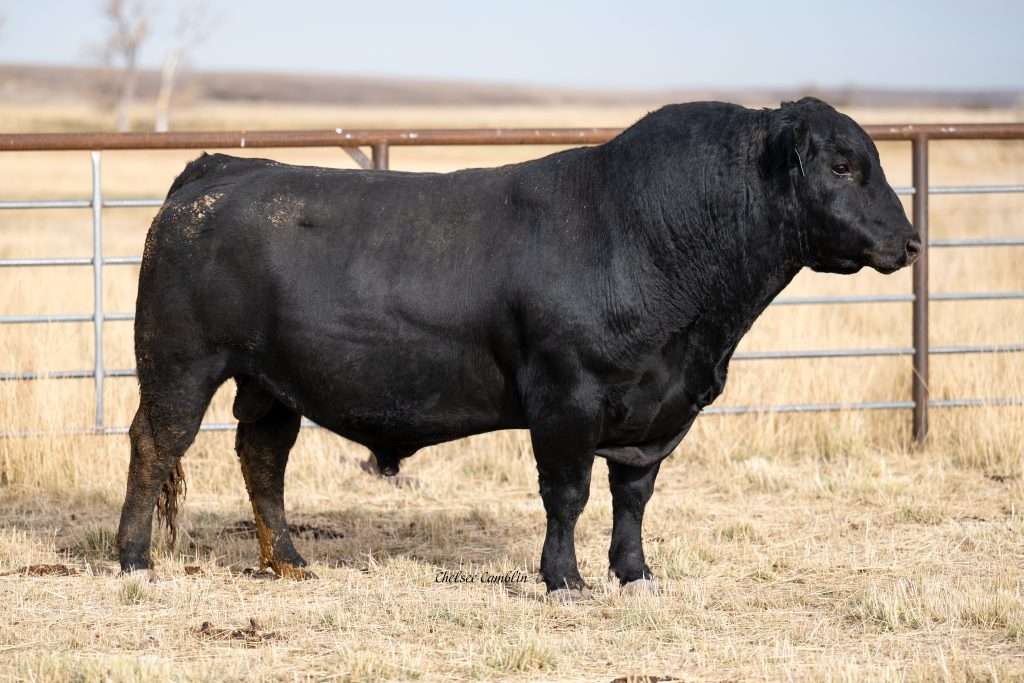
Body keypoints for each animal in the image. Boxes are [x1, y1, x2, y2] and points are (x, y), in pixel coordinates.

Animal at [116, 97, 919, 597]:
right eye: (842, 165)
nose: (908, 241)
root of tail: (223, 169)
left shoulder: (659, 410)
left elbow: (633, 496)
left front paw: (634, 573)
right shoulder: (567, 397)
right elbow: (567, 493)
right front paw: (563, 579)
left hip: (271, 382)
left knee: (262, 458)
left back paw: (287, 561)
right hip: (179, 364)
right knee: (155, 445)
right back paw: (134, 560)